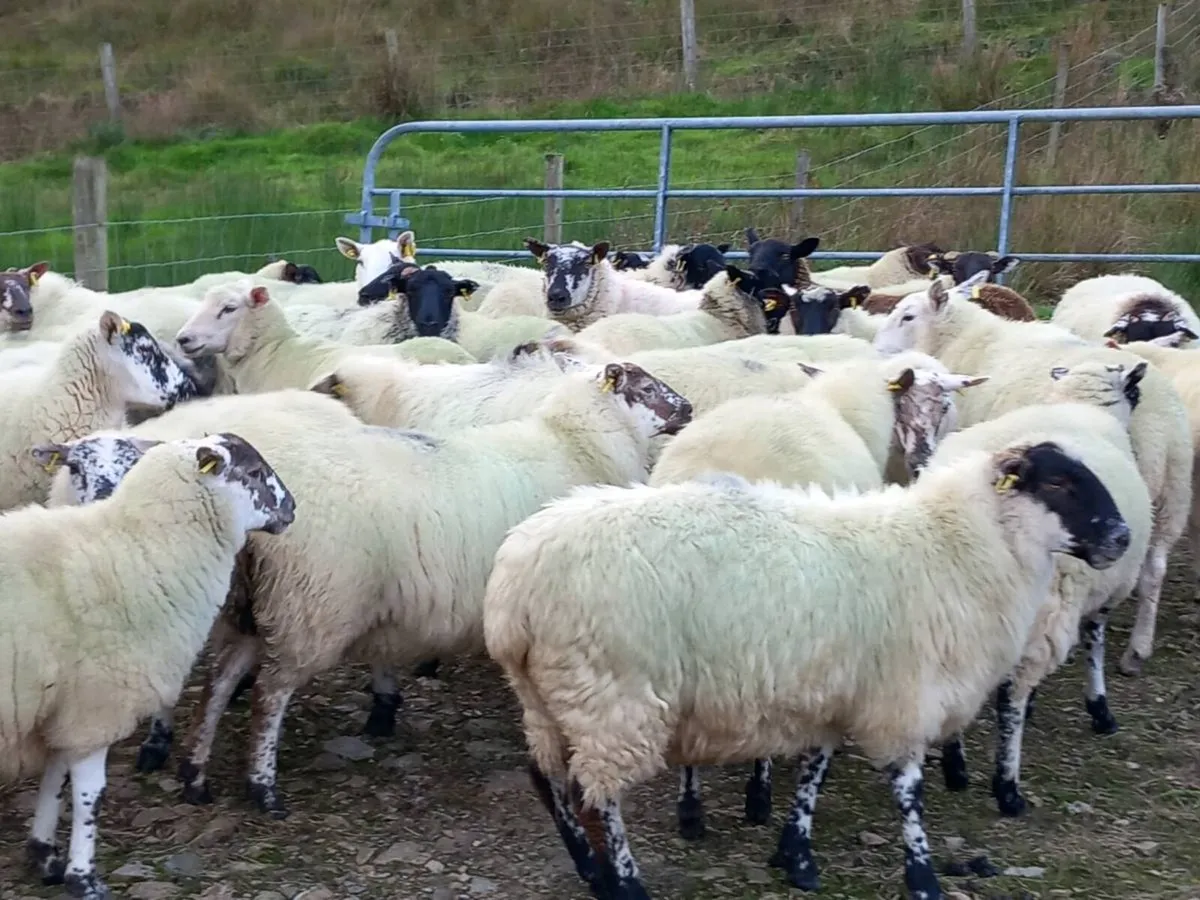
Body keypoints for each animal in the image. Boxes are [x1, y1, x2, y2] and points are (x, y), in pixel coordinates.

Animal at [3, 433, 296, 900]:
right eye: (253, 472)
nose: (294, 509)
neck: (139, 546)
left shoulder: (68, 707)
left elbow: (56, 779)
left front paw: (44, 856)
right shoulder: (97, 705)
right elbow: (90, 796)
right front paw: (83, 878)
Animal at [91, 363, 691, 818]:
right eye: (644, 387)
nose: (687, 409)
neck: (573, 443)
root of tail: (262, 521)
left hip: (255, 610)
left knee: (218, 683)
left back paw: (195, 775)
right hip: (312, 605)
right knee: (269, 695)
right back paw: (262, 788)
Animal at [482, 440, 1129, 899]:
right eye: (1060, 481)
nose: (1123, 538)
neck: (955, 547)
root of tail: (513, 591)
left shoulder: (835, 689)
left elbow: (814, 771)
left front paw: (795, 855)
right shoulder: (902, 695)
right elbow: (908, 790)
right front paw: (923, 878)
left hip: (548, 694)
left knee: (547, 777)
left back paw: (591, 870)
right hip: (613, 695)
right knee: (599, 797)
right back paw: (625, 884)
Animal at [927, 362, 1152, 817]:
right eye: (1136, 393)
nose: (1121, 536)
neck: (1080, 406)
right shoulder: (1101, 592)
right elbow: (1095, 644)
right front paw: (1100, 709)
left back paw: (956, 767)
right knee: (1009, 698)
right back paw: (1007, 787)